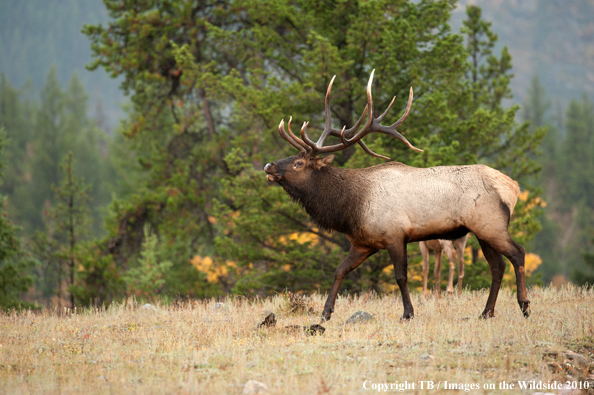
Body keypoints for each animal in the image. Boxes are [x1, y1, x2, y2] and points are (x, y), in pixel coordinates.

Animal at [264, 69, 528, 320]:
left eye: (298, 163)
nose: (269, 166)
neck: (351, 207)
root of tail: (513, 187)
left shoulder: (395, 235)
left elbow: (401, 277)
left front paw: (408, 313)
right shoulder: (363, 243)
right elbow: (340, 271)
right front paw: (326, 312)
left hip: (490, 225)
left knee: (517, 253)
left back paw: (524, 304)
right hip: (482, 231)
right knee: (498, 266)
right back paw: (486, 312)